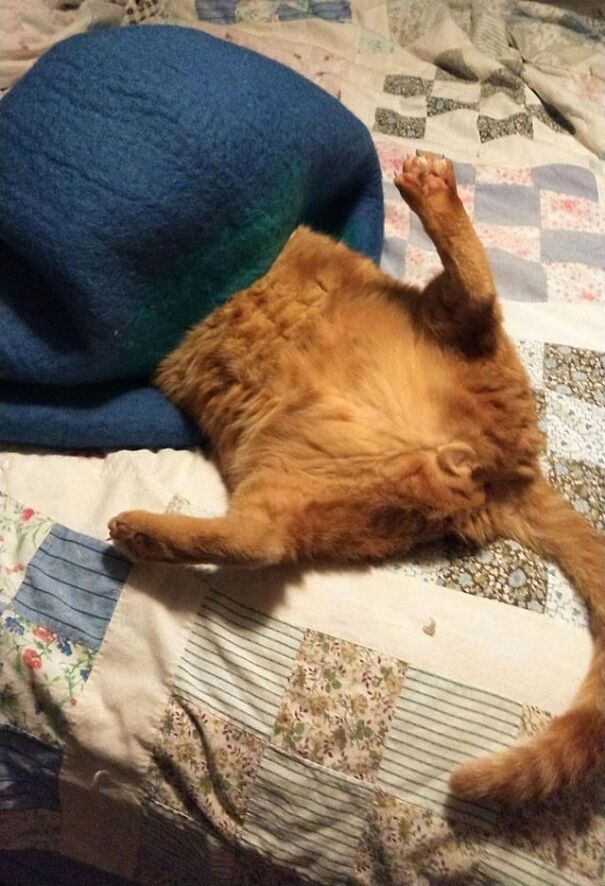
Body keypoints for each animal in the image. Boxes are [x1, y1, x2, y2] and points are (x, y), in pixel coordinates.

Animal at [108, 154, 604, 812]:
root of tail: (503, 470)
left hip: (444, 327)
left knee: (478, 291)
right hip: (289, 471)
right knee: (259, 538)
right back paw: (143, 535)